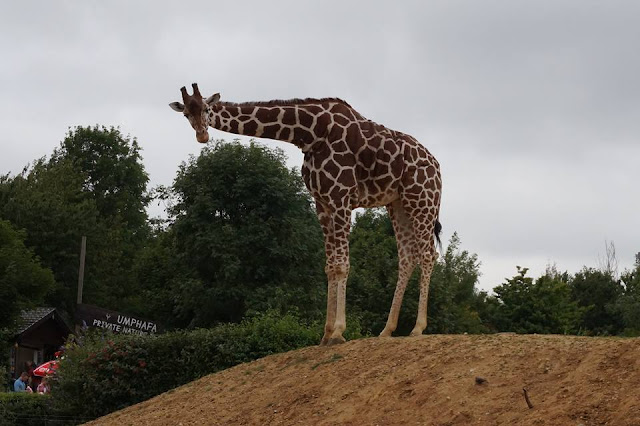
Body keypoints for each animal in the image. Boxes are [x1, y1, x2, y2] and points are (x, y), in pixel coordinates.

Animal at [170, 83, 442, 345]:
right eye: (186, 114)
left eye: (206, 109)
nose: (202, 135)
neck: (310, 134)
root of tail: (437, 166)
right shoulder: (322, 203)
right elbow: (330, 266)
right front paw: (326, 334)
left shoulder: (341, 198)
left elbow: (342, 265)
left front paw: (338, 332)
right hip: (398, 204)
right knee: (407, 257)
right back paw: (387, 331)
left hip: (422, 199)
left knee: (428, 254)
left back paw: (417, 329)